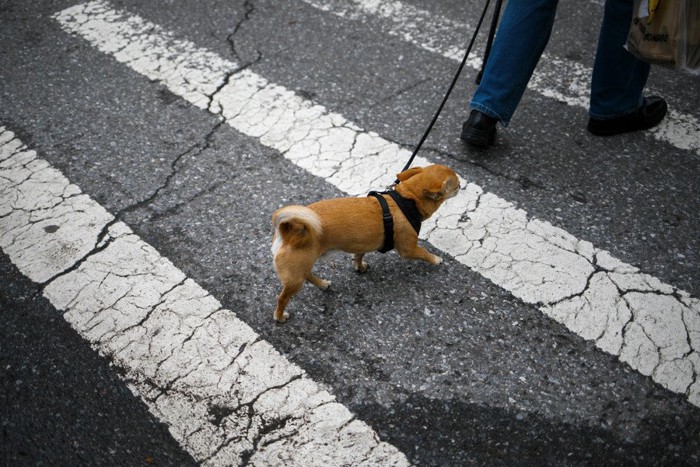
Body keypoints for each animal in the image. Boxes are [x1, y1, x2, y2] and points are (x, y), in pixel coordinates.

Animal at [270, 164, 460, 322]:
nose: (461, 184)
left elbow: (359, 256)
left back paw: (323, 284)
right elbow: (424, 253)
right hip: (295, 278)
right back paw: (280, 316)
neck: (407, 199)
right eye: (456, 185)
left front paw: (359, 267)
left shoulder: (362, 244)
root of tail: (289, 232)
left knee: (307, 275)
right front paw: (436, 259)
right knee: (282, 298)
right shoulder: (409, 249)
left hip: (302, 268)